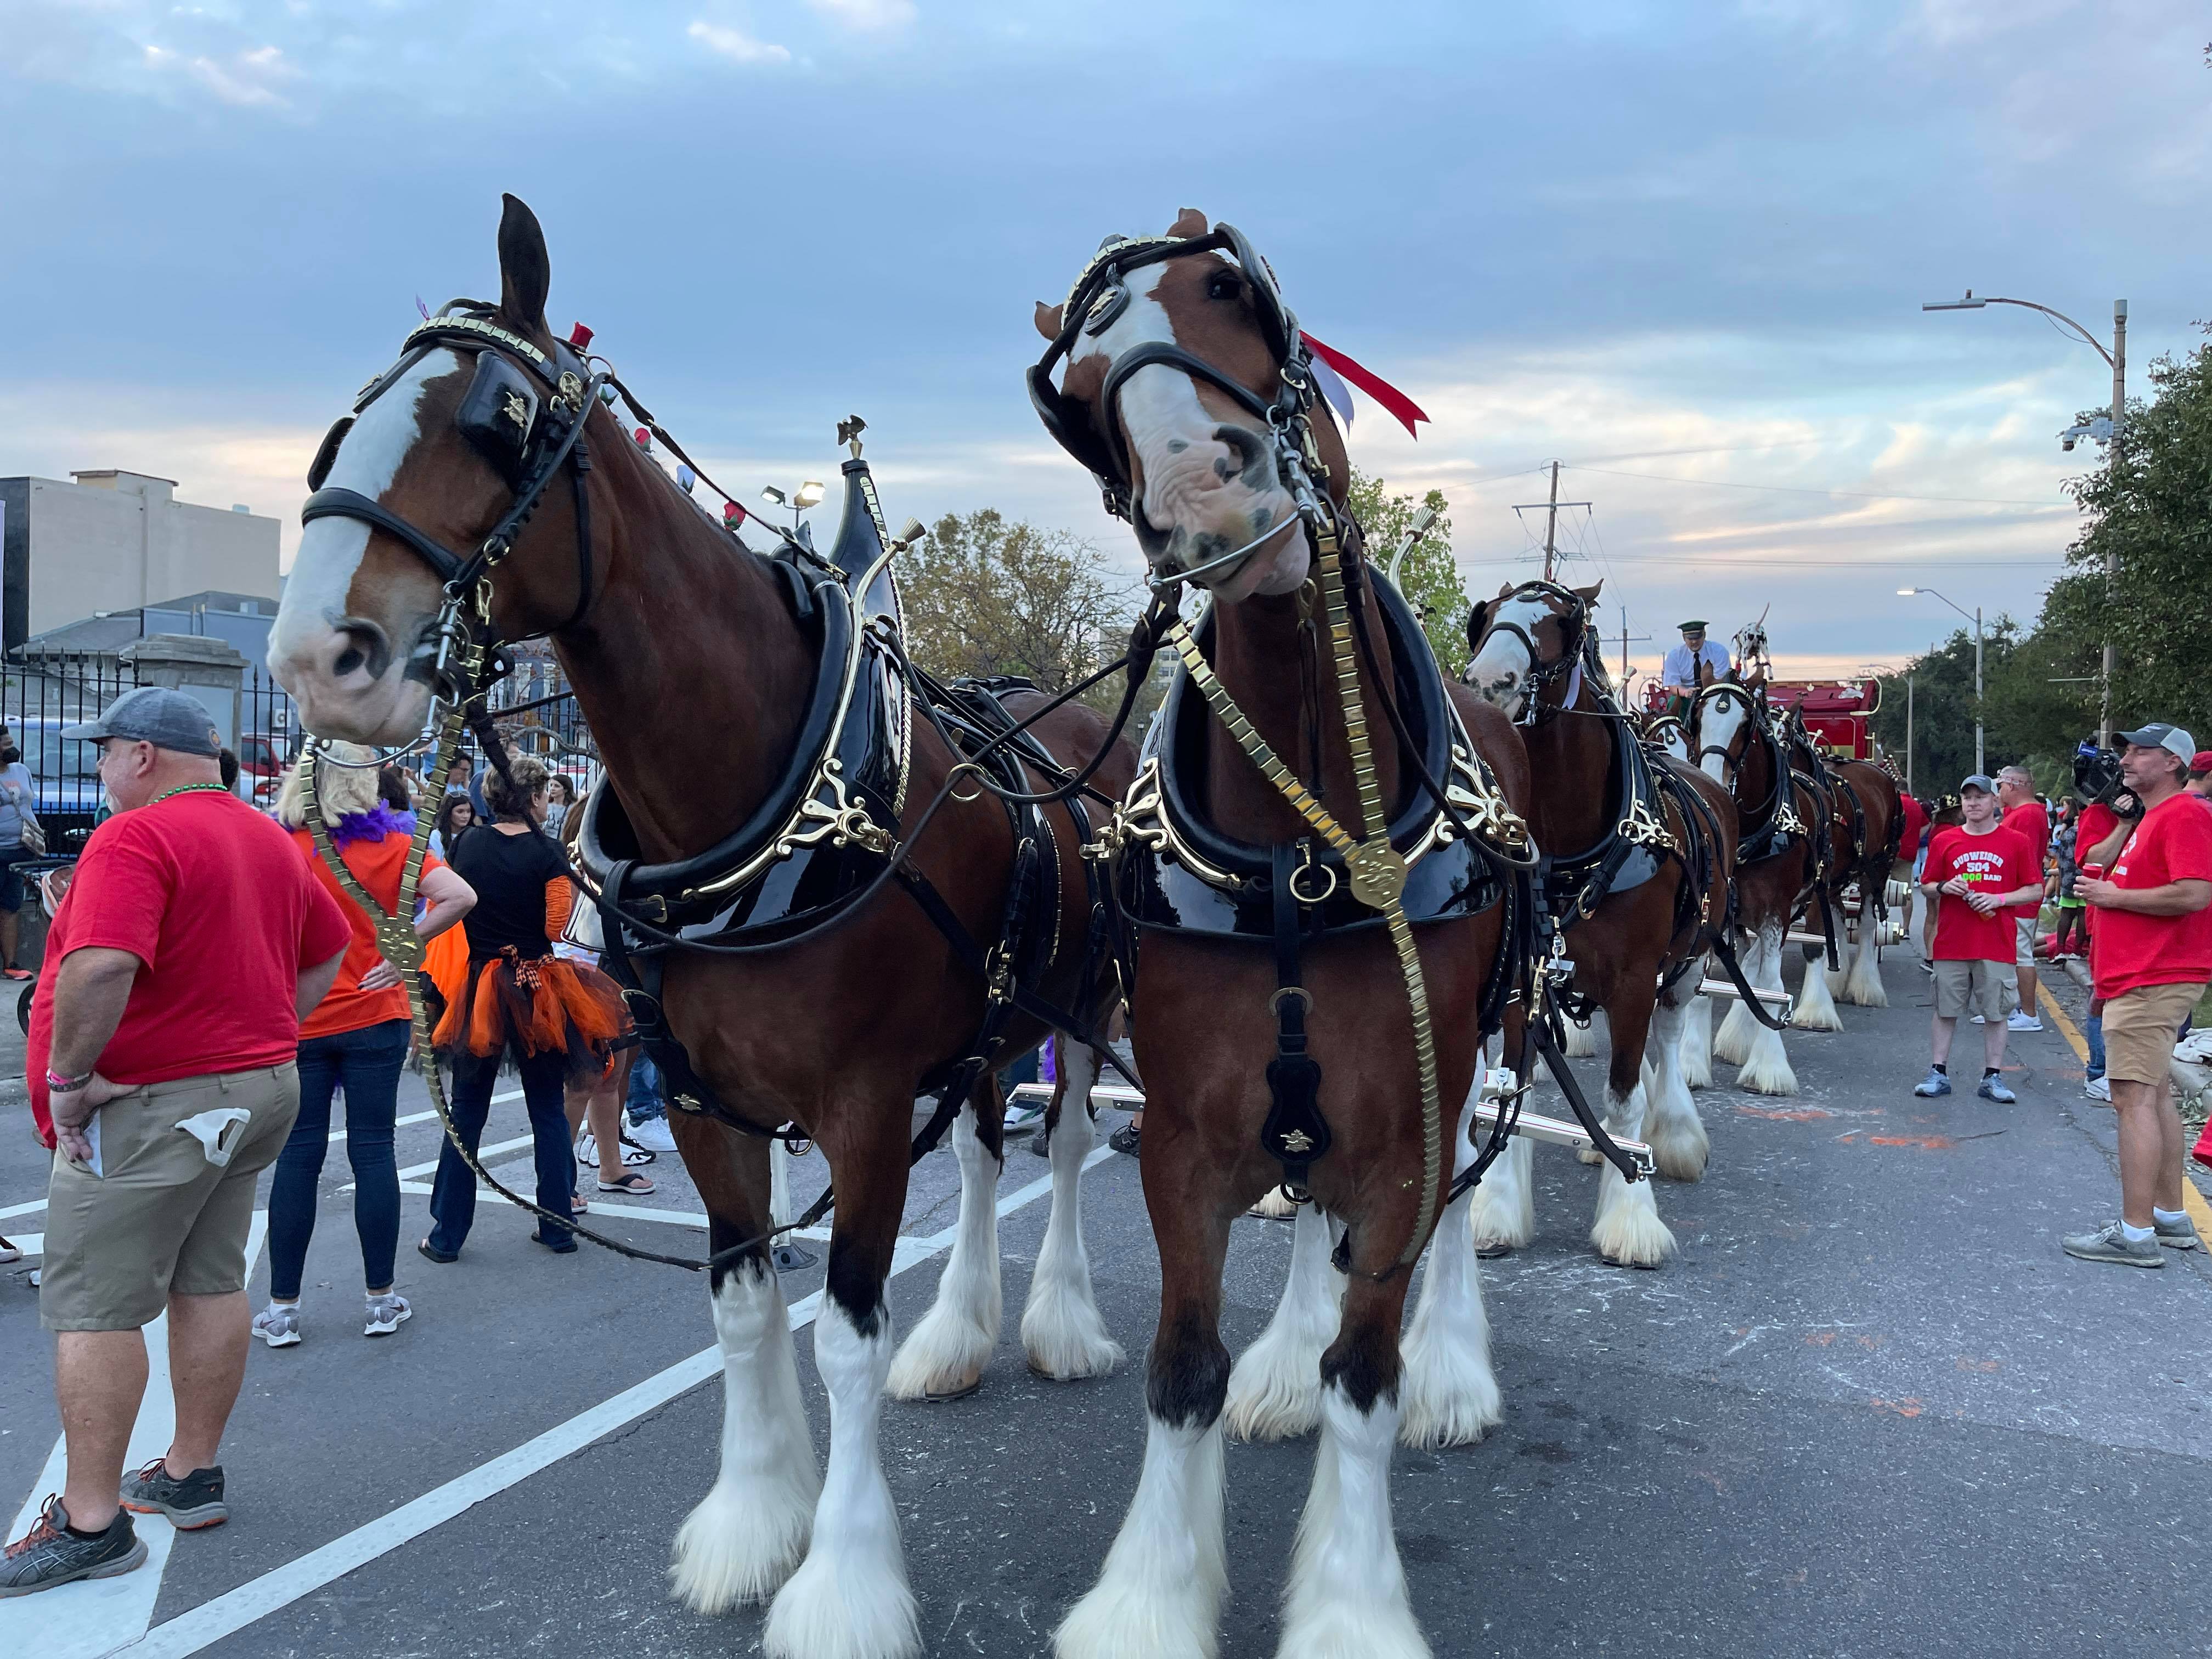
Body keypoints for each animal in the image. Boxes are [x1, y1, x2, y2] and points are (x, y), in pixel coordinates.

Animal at [274, 198, 1132, 1659]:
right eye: (347, 423)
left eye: (497, 419)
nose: (312, 655)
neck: (756, 804)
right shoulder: (695, 1094)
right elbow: (741, 1304)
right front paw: (752, 1523)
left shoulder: (860, 1104)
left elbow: (840, 1329)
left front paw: (841, 1585)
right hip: (987, 1020)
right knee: (979, 1153)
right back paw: (961, 1335)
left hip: (1080, 1007)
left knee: (1066, 1146)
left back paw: (1070, 1323)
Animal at [1026, 208, 1531, 1659]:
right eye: (1083, 397)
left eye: (1227, 288)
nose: (1205, 492)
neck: (1309, 841)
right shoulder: (1187, 1134)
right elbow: (1181, 1368)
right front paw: (1150, 1596)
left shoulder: (1409, 1117)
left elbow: (1368, 1367)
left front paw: (1352, 1604)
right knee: (1313, 1218)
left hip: (1488, 1042)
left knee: (1456, 1206)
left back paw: (1452, 1371)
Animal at [1460, 584, 1734, 1248]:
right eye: (1487, 617)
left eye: (1566, 621)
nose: (1487, 683)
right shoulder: (1524, 981)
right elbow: (1512, 1093)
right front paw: (1498, 1207)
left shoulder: (1636, 980)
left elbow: (1625, 1095)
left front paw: (1631, 1217)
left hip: (1688, 962)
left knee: (1668, 1040)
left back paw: (1673, 1135)